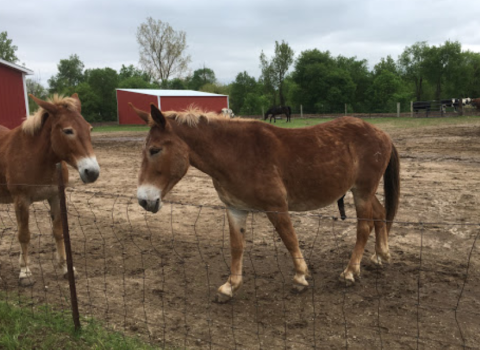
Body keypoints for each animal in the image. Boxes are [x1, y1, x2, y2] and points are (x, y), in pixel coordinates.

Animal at [0, 93, 99, 288]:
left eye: (89, 128)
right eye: (68, 131)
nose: (92, 172)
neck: (36, 157)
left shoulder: (55, 196)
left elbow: (58, 232)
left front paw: (66, 268)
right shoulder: (21, 200)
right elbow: (24, 235)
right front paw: (25, 272)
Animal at [130, 103, 398, 300]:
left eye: (155, 150)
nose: (144, 199)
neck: (236, 153)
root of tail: (383, 133)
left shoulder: (276, 207)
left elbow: (290, 239)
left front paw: (300, 277)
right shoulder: (235, 209)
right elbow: (237, 246)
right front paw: (230, 286)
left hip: (362, 191)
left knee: (364, 227)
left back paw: (350, 272)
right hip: (364, 191)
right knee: (380, 214)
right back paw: (380, 255)